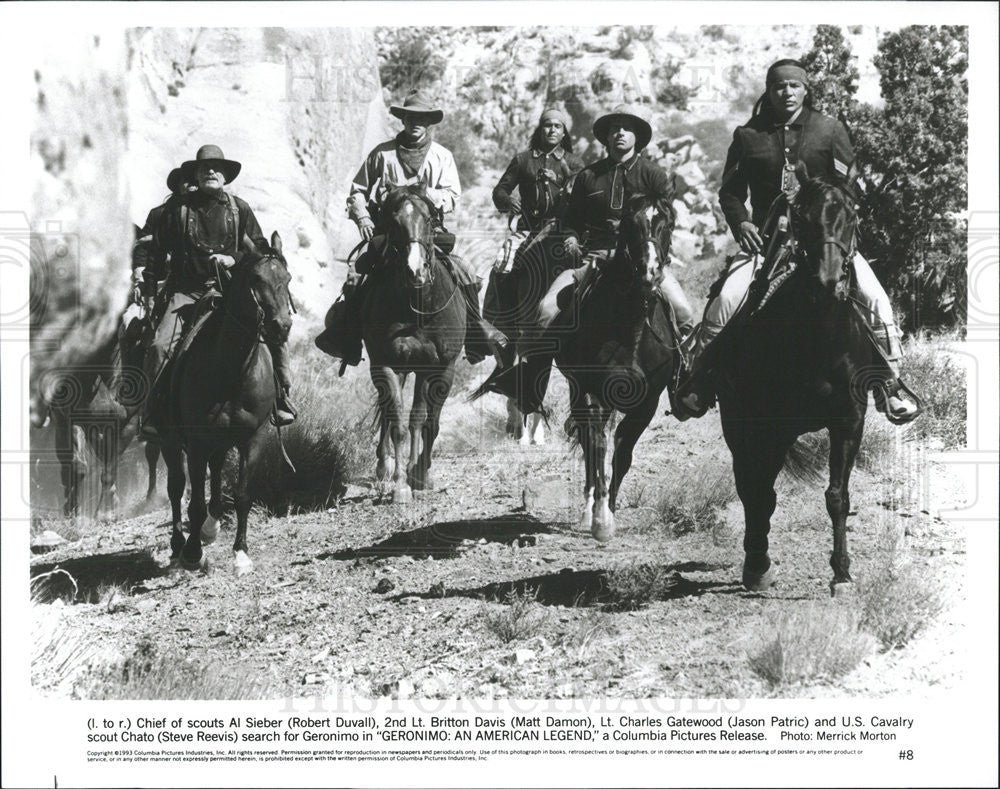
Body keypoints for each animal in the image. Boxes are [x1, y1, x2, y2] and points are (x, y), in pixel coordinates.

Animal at [31, 308, 162, 516]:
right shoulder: (69, 420)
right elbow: (77, 466)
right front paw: (73, 512)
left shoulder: (128, 424)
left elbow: (109, 467)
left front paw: (105, 512)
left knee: (154, 450)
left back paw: (153, 496)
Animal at [160, 232, 292, 572]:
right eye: (257, 278)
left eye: (287, 278)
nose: (281, 326)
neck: (231, 371)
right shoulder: (195, 442)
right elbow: (193, 502)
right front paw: (193, 553)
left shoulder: (253, 438)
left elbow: (243, 494)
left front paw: (241, 553)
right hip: (169, 440)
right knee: (176, 487)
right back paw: (179, 547)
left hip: (219, 441)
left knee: (216, 474)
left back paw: (210, 528)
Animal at [362, 185, 466, 502]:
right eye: (394, 223)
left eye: (429, 220)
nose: (415, 271)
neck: (417, 309)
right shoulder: (385, 364)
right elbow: (398, 422)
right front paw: (400, 484)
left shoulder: (437, 367)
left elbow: (424, 421)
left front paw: (419, 475)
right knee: (387, 412)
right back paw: (384, 468)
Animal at [720, 168, 876, 596]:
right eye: (803, 218)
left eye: (853, 216)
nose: (828, 280)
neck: (818, 336)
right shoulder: (770, 426)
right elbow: (759, 493)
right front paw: (758, 564)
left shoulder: (848, 421)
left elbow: (838, 497)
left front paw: (842, 574)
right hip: (743, 426)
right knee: (752, 488)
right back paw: (756, 563)